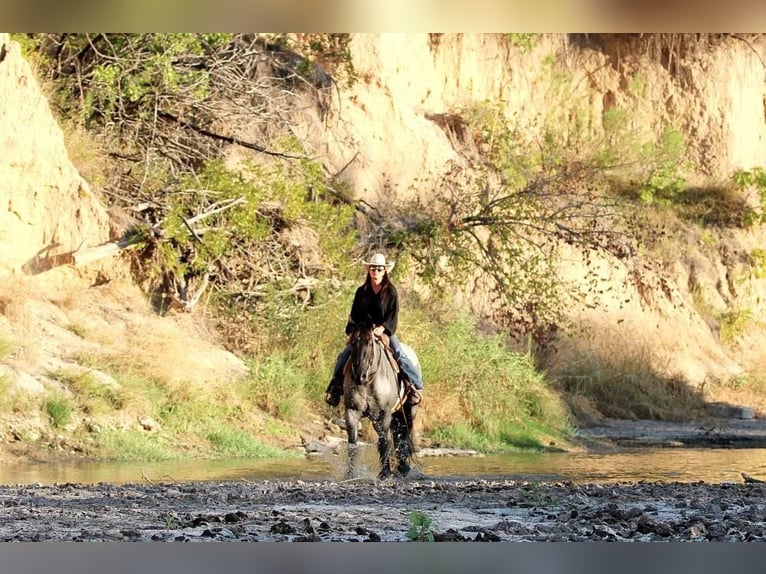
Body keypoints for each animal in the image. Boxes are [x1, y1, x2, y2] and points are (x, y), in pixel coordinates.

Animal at [344, 324, 416, 482]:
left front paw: (385, 473)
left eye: (370, 343)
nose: (360, 376)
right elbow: (352, 444)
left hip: (408, 412)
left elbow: (384, 442)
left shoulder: (385, 413)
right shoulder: (352, 410)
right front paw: (350, 474)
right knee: (397, 436)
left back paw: (403, 468)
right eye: (353, 343)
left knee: (403, 437)